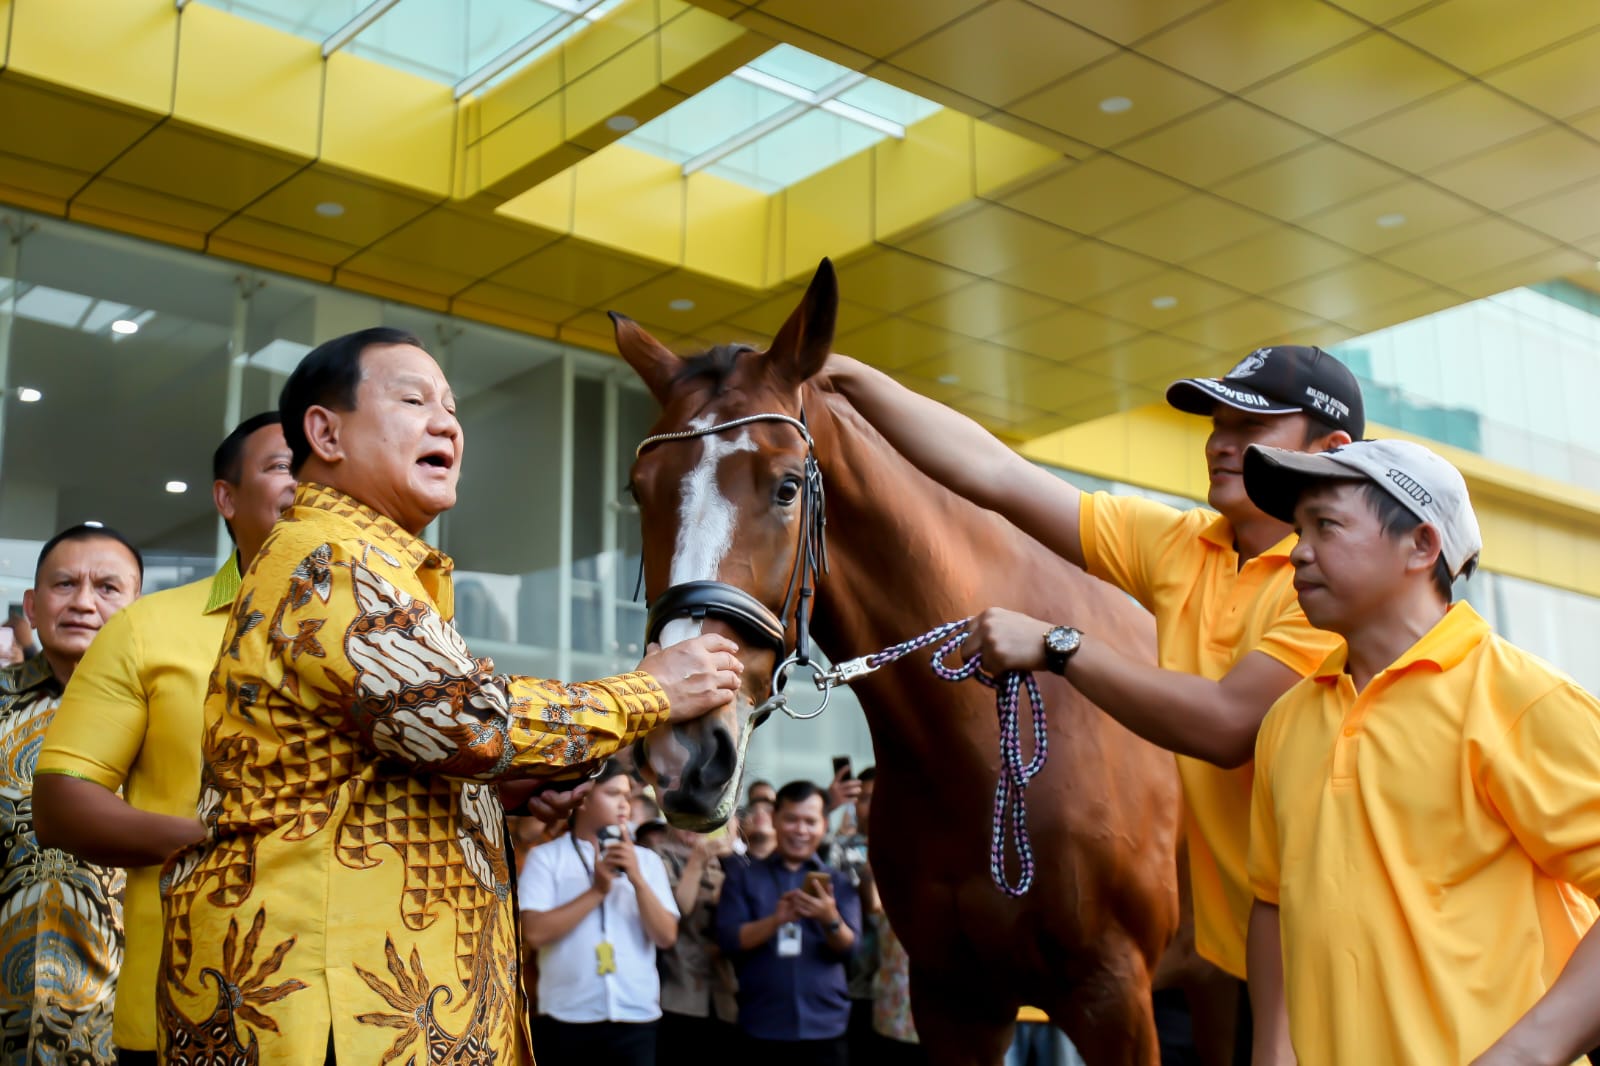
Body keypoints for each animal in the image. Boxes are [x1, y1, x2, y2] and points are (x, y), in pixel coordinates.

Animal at [608, 259, 1177, 1062]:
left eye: (788, 486)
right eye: (640, 490)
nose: (686, 752)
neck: (980, 749)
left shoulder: (1115, 996)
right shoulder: (954, 998)